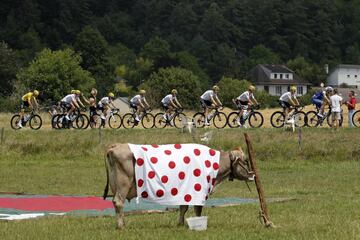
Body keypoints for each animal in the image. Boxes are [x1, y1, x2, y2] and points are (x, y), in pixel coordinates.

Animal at [102, 143, 253, 230]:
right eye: (246, 160)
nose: (253, 175)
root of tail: (116, 146)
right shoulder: (199, 190)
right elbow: (197, 209)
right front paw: (198, 223)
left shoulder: (185, 191)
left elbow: (183, 208)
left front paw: (180, 224)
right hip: (123, 184)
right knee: (118, 202)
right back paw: (121, 226)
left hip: (116, 185)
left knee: (116, 204)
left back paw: (122, 223)